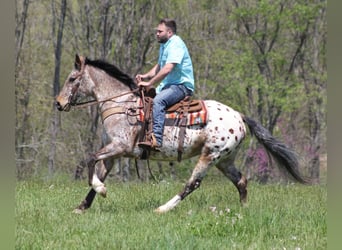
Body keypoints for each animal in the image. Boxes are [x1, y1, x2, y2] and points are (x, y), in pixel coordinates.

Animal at [55, 54, 308, 213]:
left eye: (72, 78)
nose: (58, 103)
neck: (122, 104)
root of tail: (239, 115)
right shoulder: (114, 153)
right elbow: (97, 171)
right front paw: (82, 207)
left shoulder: (120, 147)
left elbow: (89, 160)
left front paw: (102, 190)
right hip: (225, 160)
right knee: (241, 181)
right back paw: (244, 210)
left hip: (210, 155)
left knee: (192, 184)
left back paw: (162, 209)